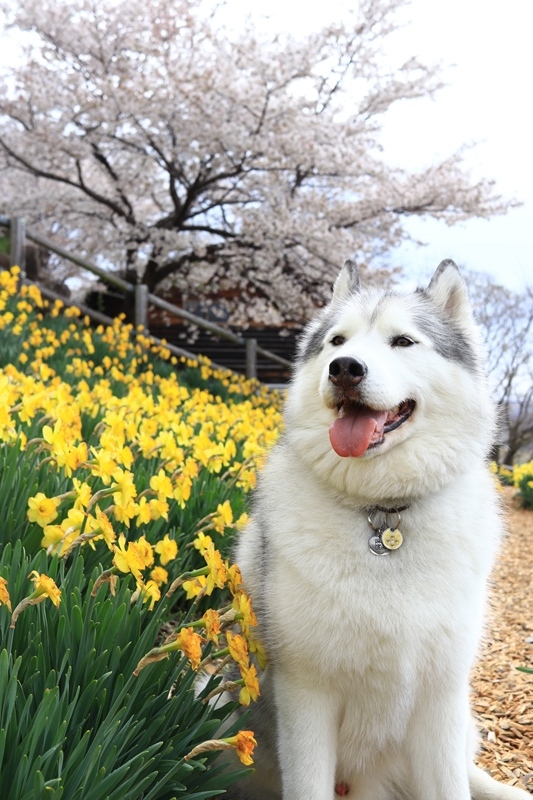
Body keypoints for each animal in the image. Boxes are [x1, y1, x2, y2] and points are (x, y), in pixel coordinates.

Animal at [233, 260, 528, 796]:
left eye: (403, 341)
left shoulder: (441, 695)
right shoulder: (307, 692)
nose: (344, 368)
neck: (384, 515)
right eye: (337, 341)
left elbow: (453, 784)